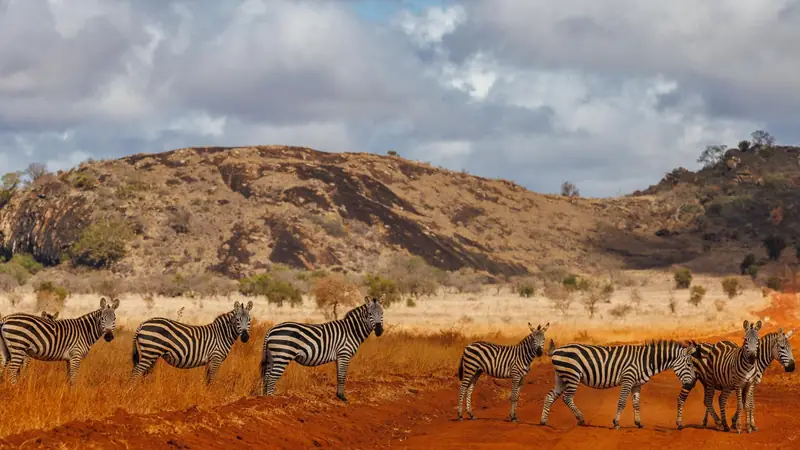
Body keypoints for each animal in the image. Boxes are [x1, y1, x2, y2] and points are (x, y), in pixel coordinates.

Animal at [540, 340, 699, 429]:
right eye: (689, 364)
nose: (691, 384)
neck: (645, 361)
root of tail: (557, 349)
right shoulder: (628, 379)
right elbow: (622, 402)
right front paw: (616, 423)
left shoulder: (636, 384)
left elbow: (636, 404)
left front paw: (638, 423)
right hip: (572, 375)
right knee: (567, 398)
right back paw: (580, 418)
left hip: (561, 377)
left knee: (549, 396)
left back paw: (544, 421)